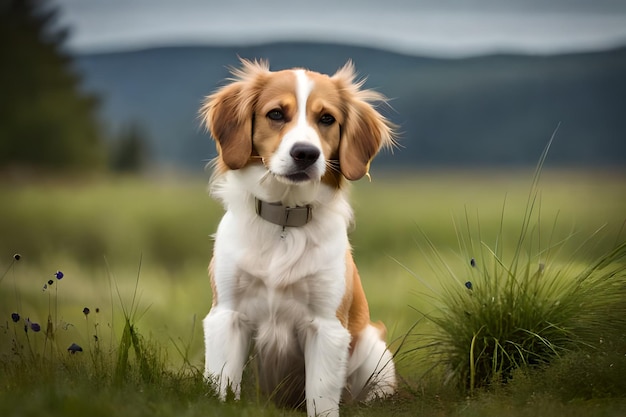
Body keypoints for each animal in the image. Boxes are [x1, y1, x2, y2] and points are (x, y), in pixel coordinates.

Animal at [200, 59, 394, 416]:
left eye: (327, 118)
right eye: (276, 114)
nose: (306, 153)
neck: (285, 223)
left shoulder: (326, 326)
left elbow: (321, 396)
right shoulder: (227, 315)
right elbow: (223, 383)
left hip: (374, 349)